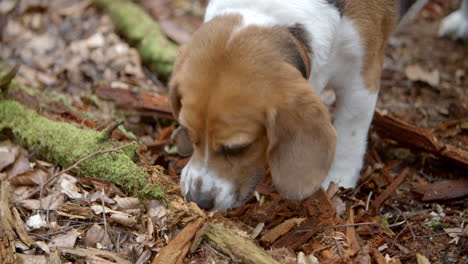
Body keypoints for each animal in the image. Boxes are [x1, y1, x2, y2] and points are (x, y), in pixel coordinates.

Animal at [170, 0, 396, 210]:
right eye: (188, 134)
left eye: (239, 148)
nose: (198, 201)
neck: (266, 13)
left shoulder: (362, 81)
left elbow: (351, 134)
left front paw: (339, 181)